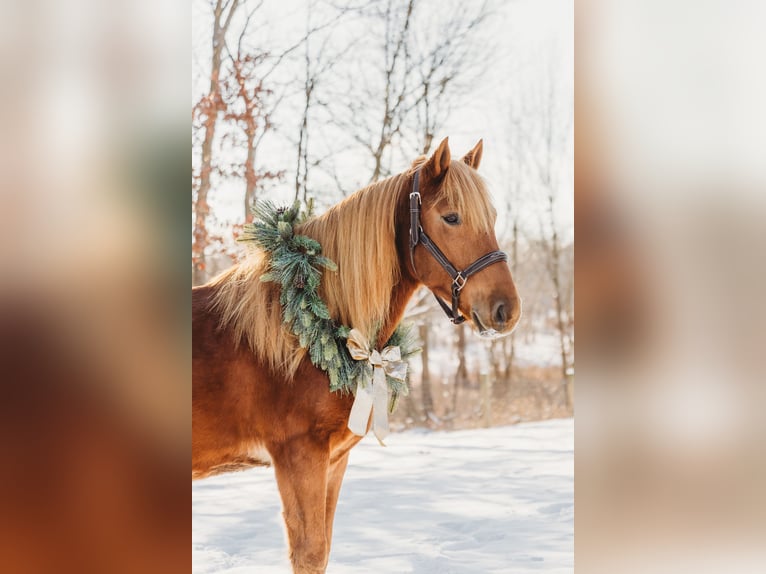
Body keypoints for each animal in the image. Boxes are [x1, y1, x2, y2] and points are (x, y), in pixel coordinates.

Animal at [192, 137, 521, 574]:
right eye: (451, 217)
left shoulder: (333, 462)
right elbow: (309, 552)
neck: (300, 332)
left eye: (493, 216)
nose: (507, 310)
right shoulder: (299, 457)